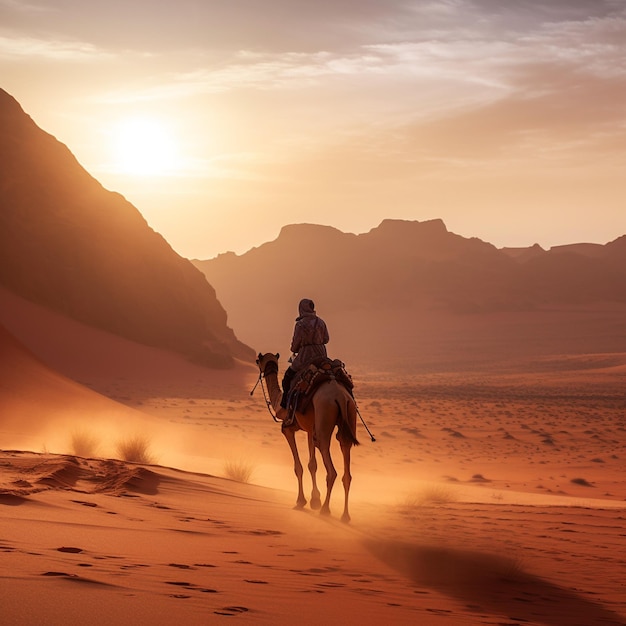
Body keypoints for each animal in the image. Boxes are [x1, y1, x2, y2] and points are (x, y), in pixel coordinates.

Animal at [255, 352, 360, 520]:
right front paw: (314, 500)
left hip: (324, 415)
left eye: (258, 361)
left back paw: (325, 509)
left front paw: (301, 501)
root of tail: (341, 398)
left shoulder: (288, 429)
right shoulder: (310, 430)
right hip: (350, 414)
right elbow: (312, 464)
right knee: (346, 467)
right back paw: (345, 515)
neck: (279, 404)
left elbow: (298, 467)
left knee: (330, 466)